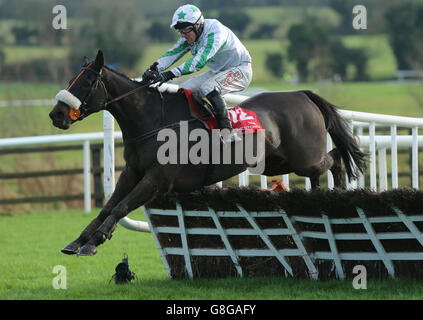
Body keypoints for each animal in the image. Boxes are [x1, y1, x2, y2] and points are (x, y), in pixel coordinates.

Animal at [49, 50, 368, 255]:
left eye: (87, 82)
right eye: (69, 81)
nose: (56, 114)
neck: (153, 120)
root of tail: (303, 94)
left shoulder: (157, 179)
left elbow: (120, 206)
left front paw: (95, 241)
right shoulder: (132, 172)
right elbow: (108, 206)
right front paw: (80, 240)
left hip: (304, 159)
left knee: (334, 159)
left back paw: (337, 193)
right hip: (277, 163)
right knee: (325, 166)